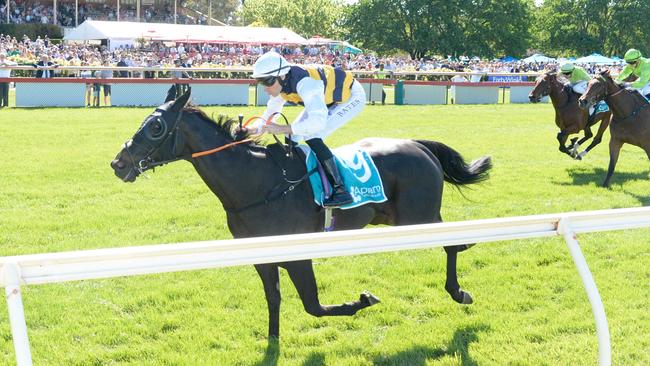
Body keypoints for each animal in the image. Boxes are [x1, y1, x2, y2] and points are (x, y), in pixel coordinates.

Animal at [109, 88, 488, 338]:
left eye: (156, 127)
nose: (118, 163)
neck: (257, 183)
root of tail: (419, 145)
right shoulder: (260, 255)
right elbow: (274, 298)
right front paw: (273, 340)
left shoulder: (297, 254)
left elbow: (313, 306)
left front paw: (363, 300)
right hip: (397, 218)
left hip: (416, 217)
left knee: (450, 244)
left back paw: (459, 290)